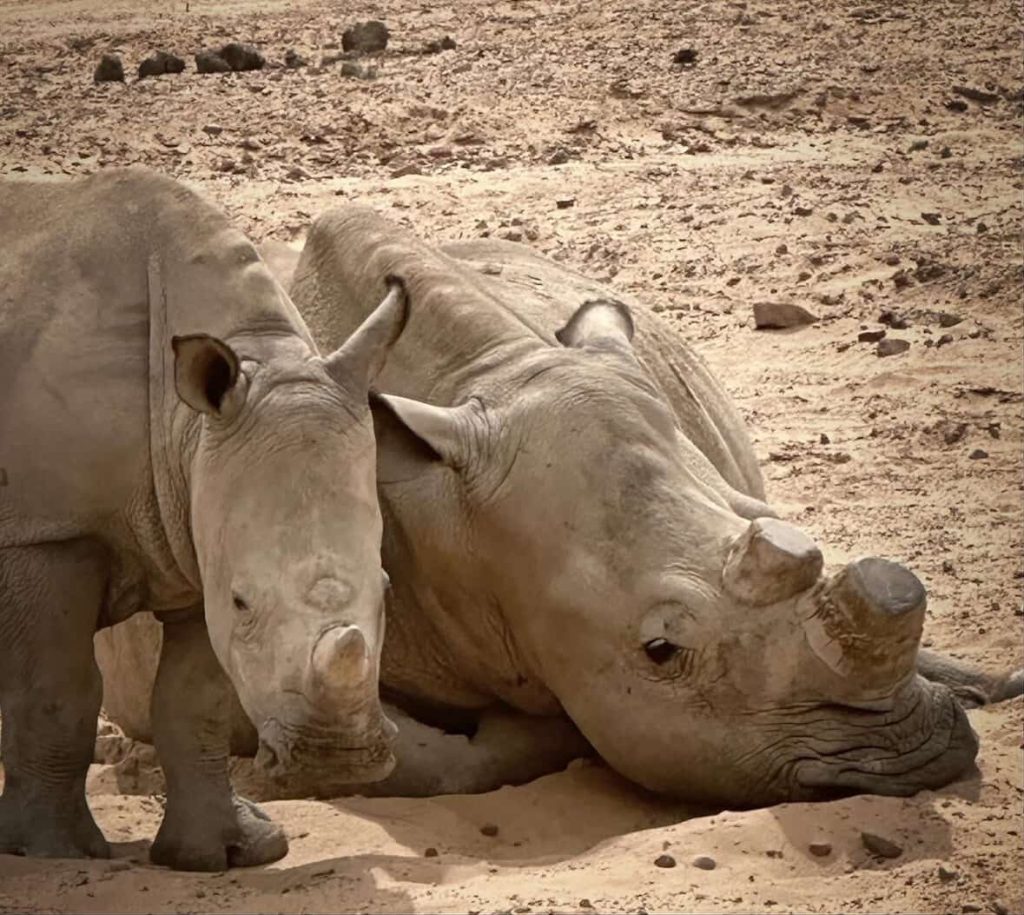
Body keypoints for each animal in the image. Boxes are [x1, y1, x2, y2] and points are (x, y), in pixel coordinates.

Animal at [0, 171, 409, 871]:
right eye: (244, 601)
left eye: (386, 589)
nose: (337, 761)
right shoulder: (49, 529)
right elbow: (57, 691)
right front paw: (55, 852)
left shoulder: (200, 523)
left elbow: (196, 701)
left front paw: (226, 852)